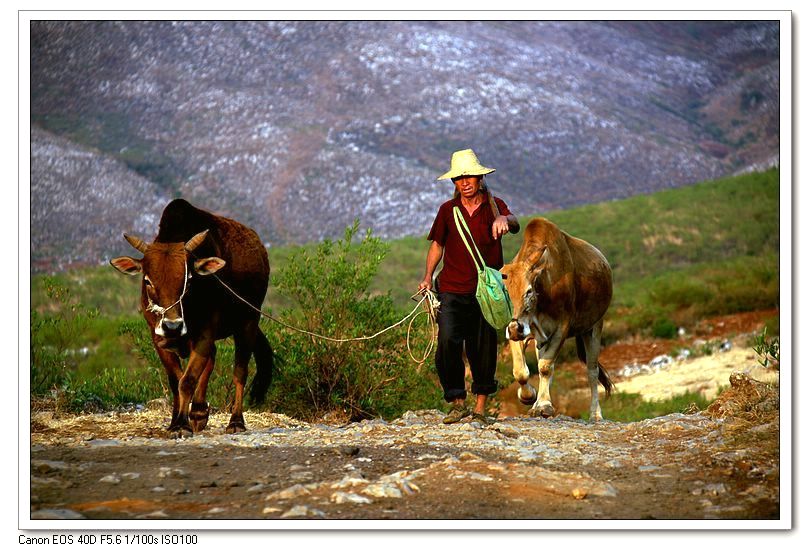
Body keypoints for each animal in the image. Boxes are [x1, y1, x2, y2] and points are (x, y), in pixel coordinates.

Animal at [109, 201, 274, 438]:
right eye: (148, 281)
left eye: (188, 279)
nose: (172, 326)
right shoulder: (157, 338)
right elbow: (176, 380)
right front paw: (176, 422)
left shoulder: (205, 334)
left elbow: (187, 380)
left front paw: (182, 425)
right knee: (212, 360)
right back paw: (198, 412)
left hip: (249, 322)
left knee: (240, 372)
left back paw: (235, 421)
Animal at [498, 218, 612, 420]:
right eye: (505, 291)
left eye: (528, 291)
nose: (515, 328)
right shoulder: (518, 330)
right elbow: (521, 371)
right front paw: (529, 397)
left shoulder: (561, 327)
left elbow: (545, 367)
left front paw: (544, 405)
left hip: (594, 327)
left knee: (592, 371)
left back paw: (596, 414)